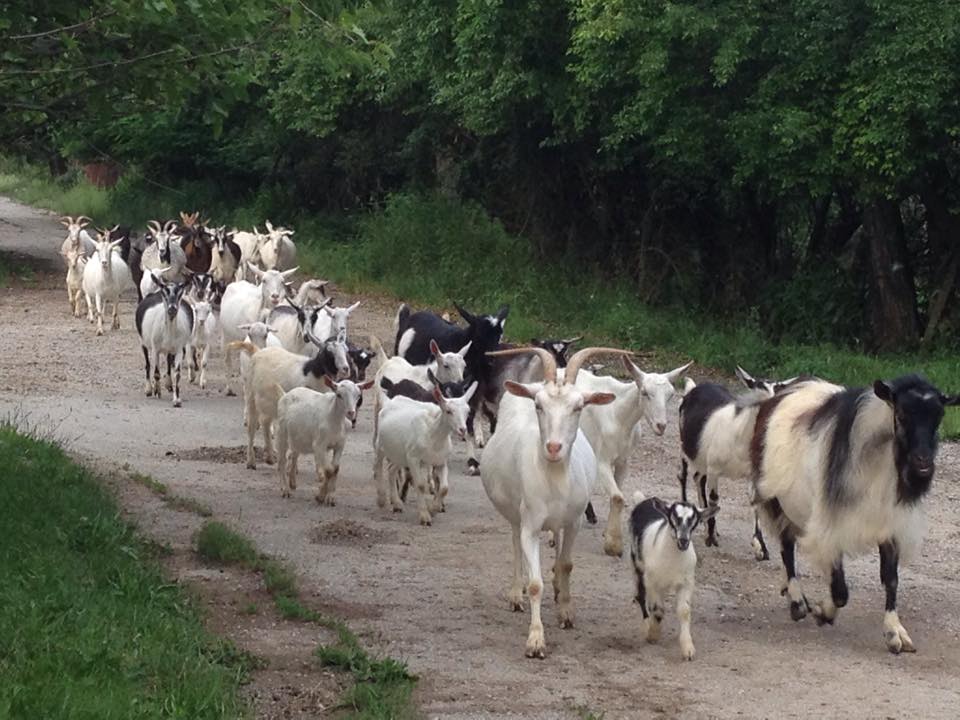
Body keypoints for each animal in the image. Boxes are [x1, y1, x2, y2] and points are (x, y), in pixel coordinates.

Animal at [376, 382, 480, 524]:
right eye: (448, 411)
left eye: (467, 411)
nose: (462, 430)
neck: (433, 433)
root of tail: (390, 401)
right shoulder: (414, 459)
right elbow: (420, 485)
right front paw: (425, 516)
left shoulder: (441, 461)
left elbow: (444, 488)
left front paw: (434, 509)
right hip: (380, 446)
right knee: (378, 467)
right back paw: (381, 499)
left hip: (400, 454)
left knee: (391, 470)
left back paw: (397, 504)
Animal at [480, 344, 624, 660]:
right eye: (538, 406)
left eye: (578, 407)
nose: (554, 447)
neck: (554, 476)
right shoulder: (530, 525)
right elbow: (536, 584)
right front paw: (535, 639)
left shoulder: (575, 521)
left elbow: (567, 564)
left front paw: (566, 612)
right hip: (514, 513)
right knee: (515, 545)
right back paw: (515, 594)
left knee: (556, 544)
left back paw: (558, 587)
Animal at [632, 492, 720, 660]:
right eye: (673, 517)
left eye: (695, 521)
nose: (683, 540)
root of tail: (644, 501)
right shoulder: (652, 581)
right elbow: (657, 609)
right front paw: (653, 634)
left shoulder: (686, 583)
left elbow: (684, 611)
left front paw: (688, 648)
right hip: (638, 565)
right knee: (641, 596)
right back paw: (646, 624)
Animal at [752, 376, 956, 652]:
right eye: (901, 414)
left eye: (939, 416)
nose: (923, 463)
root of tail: (783, 390)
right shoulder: (832, 522)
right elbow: (840, 589)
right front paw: (823, 612)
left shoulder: (890, 523)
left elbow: (891, 578)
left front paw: (895, 632)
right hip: (776, 499)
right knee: (786, 547)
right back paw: (797, 601)